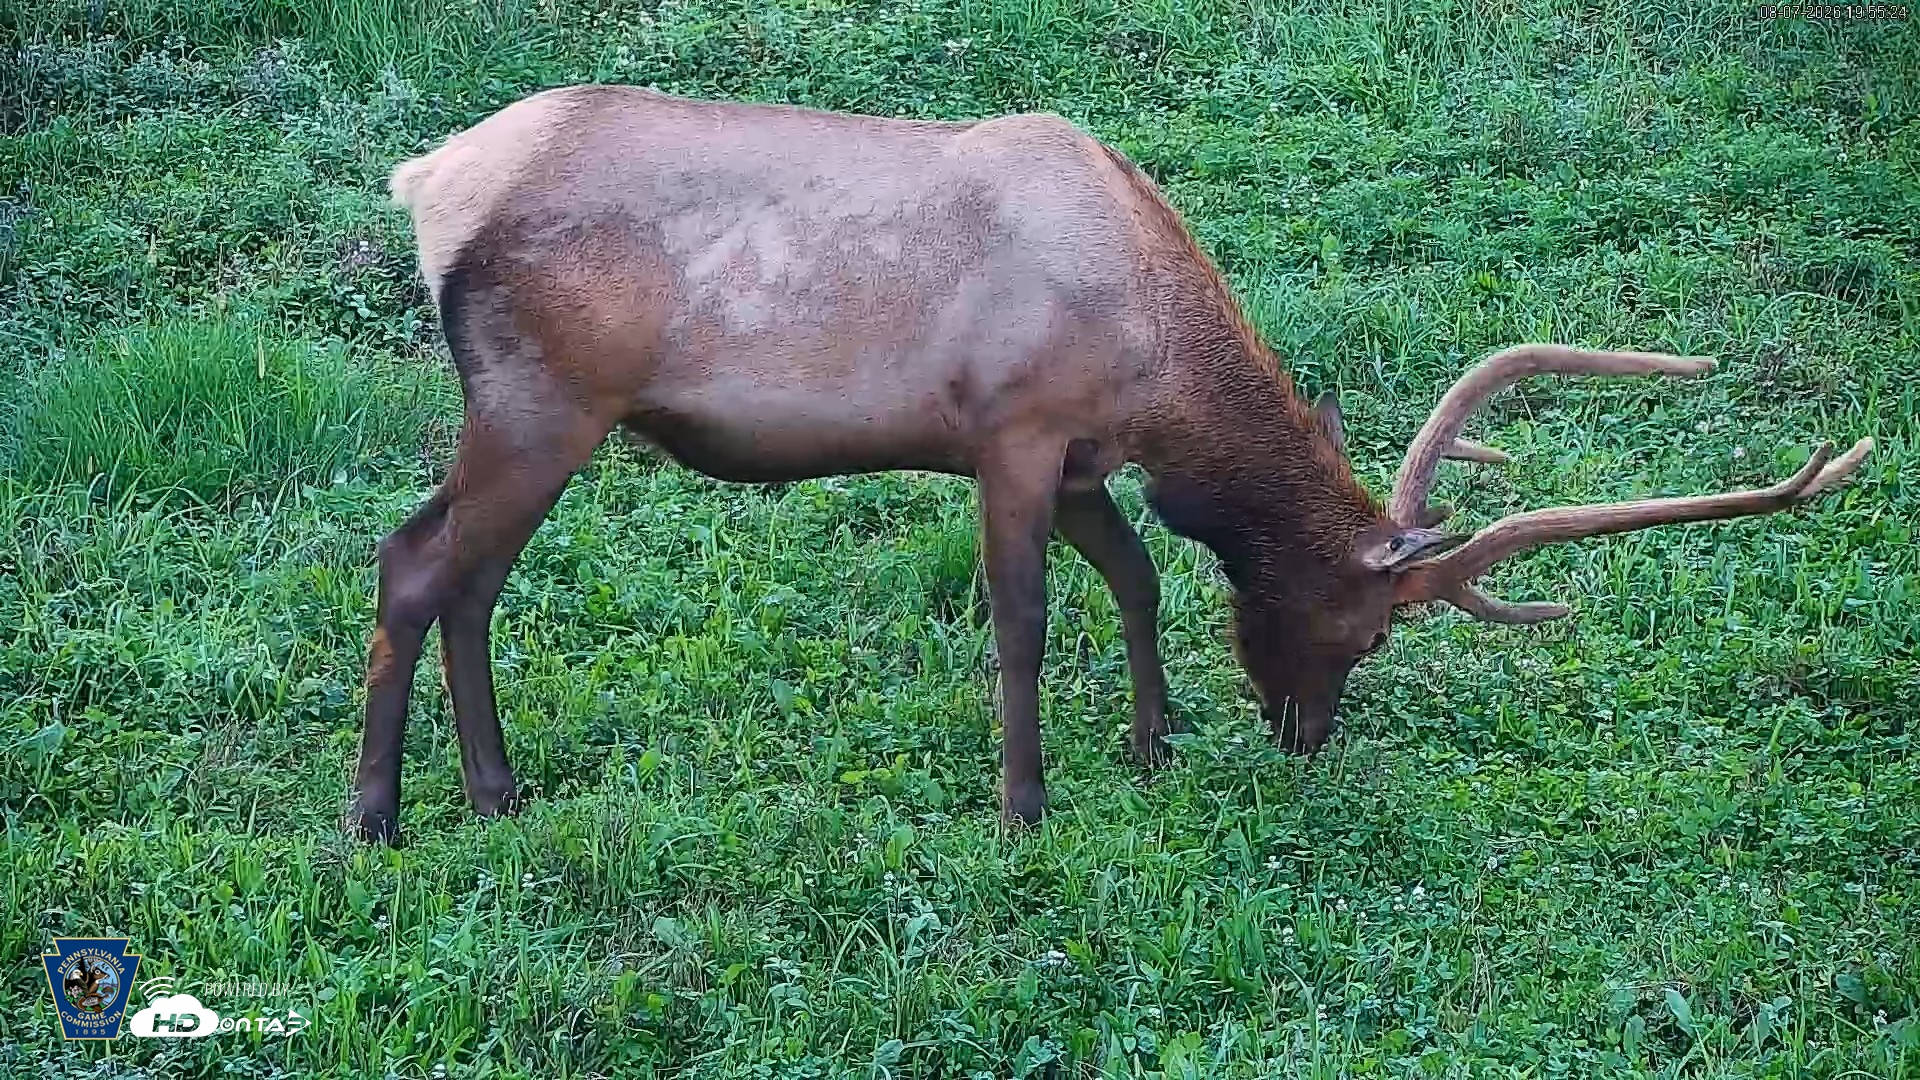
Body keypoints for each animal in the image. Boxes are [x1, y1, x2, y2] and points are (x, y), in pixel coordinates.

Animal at [348, 83, 1873, 842]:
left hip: (534, 415)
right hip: (545, 400)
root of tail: (428, 182)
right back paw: (382, 817)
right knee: (420, 564)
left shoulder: (1083, 459)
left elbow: (1138, 578)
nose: (1304, 734)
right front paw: (1024, 805)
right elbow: (1023, 620)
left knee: (455, 572)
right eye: (1372, 629)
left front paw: (1151, 741)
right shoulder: (1010, 431)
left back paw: (493, 792)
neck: (1154, 361)